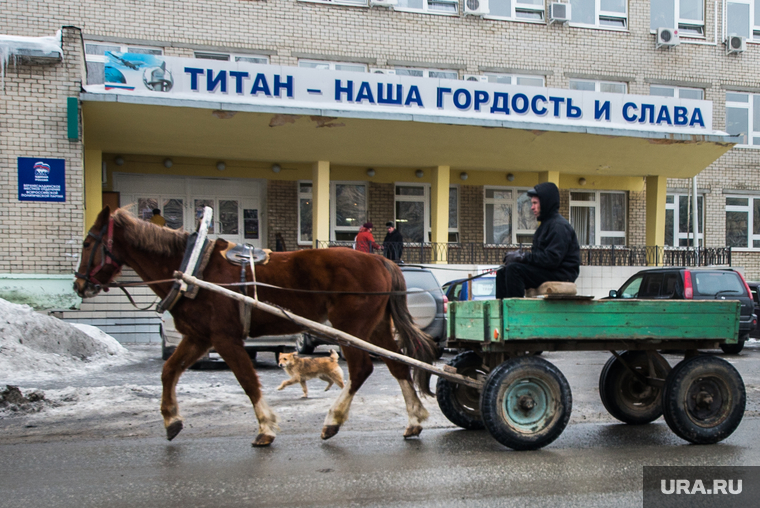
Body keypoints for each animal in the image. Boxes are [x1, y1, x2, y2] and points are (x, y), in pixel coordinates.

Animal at [73, 206, 440, 444]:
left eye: (88, 243)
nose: (78, 285)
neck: (195, 269)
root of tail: (382, 260)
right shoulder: (198, 337)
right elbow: (169, 371)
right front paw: (171, 420)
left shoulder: (225, 337)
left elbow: (248, 381)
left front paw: (265, 428)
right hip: (374, 327)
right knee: (397, 365)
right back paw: (414, 420)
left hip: (351, 327)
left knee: (363, 368)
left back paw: (333, 421)